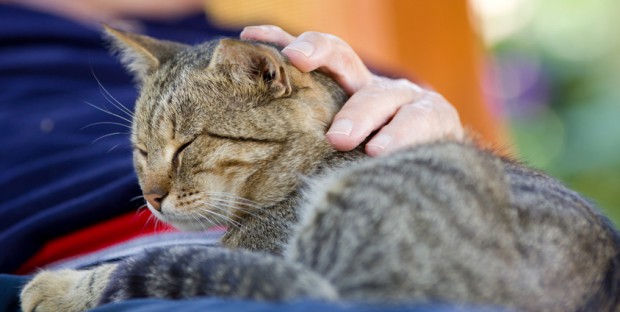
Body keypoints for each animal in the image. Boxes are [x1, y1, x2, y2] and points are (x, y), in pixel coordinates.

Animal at [19, 25, 620, 310]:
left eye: (186, 144)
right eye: (141, 151)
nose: (150, 195)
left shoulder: (260, 254)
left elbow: (123, 270)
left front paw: (54, 288)